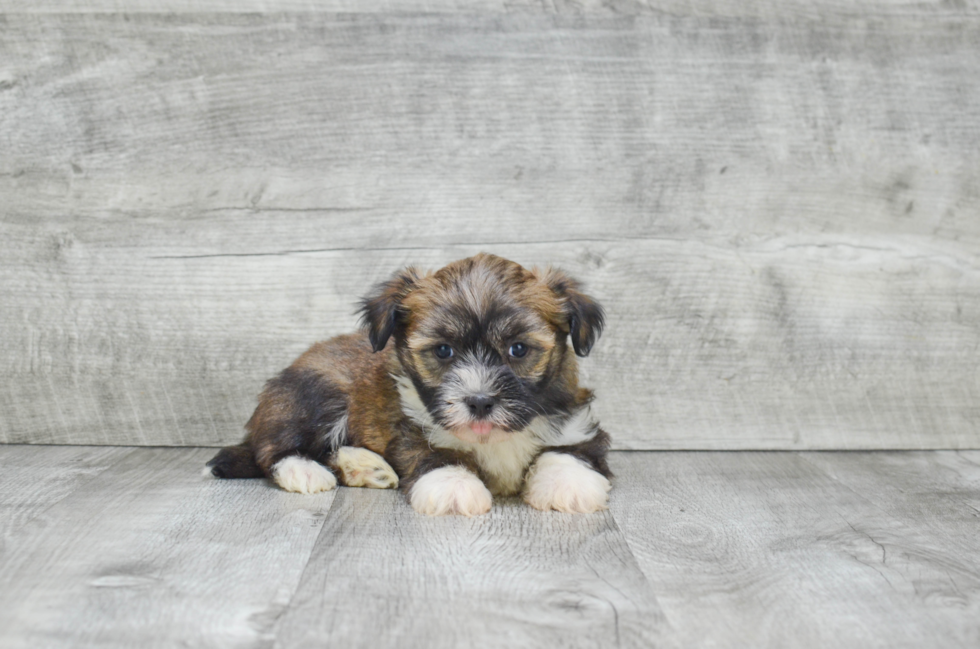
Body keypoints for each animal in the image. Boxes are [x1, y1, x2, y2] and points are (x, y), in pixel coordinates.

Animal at [208, 253, 612, 516]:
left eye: (518, 349)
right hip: (316, 394)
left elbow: (570, 451)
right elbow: (434, 453)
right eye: (444, 351)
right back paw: (305, 470)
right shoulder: (414, 430)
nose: (480, 402)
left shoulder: (576, 420)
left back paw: (365, 467)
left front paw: (567, 484)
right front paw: (453, 486)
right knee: (270, 450)